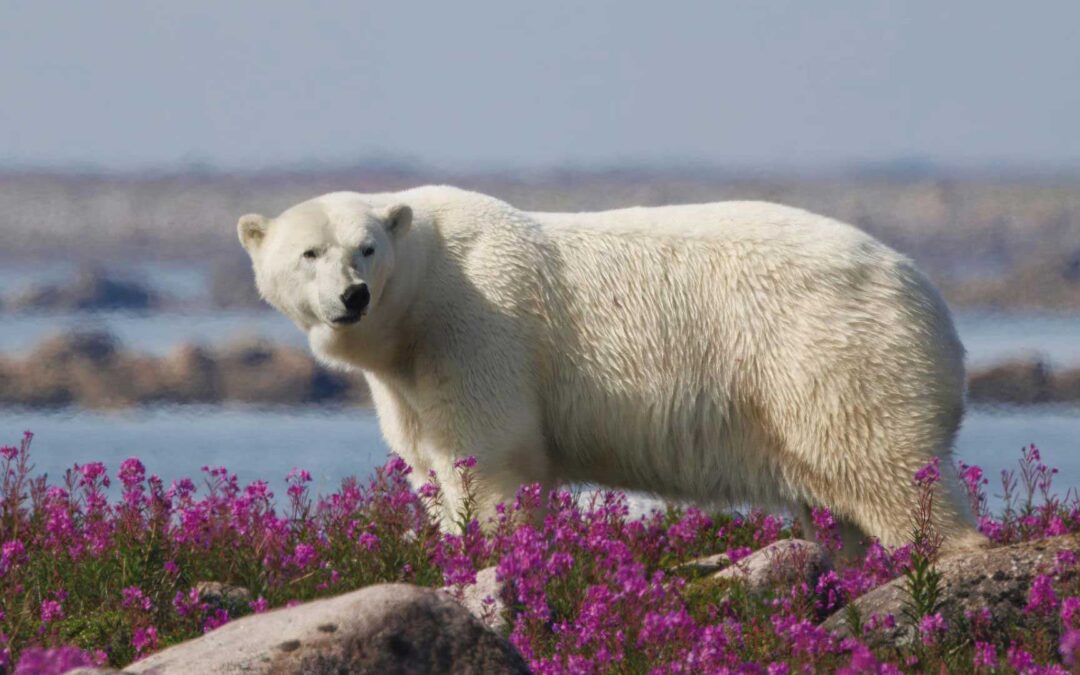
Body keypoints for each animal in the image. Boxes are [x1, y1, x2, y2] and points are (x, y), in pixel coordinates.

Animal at [238, 185, 986, 552]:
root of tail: (933, 299)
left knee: (888, 471)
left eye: (365, 247)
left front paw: (492, 553)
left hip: (832, 354)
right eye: (309, 252)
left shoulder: (476, 326)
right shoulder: (408, 374)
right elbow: (427, 463)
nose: (353, 296)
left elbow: (491, 455)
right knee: (838, 499)